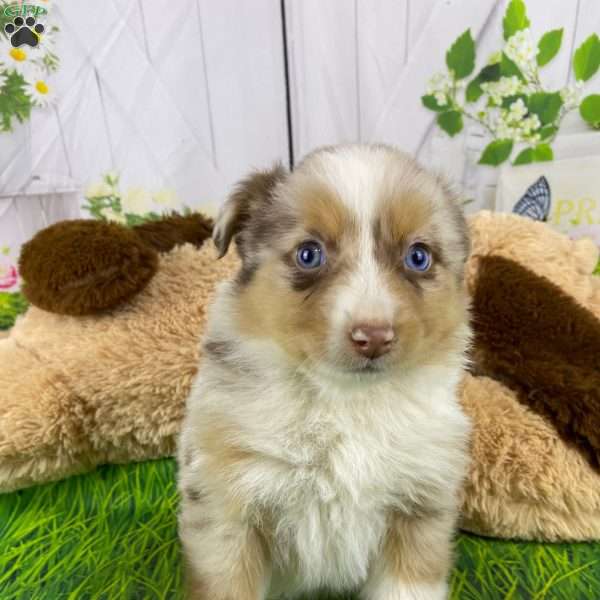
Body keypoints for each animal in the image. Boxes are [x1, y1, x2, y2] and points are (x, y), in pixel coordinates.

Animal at [176, 143, 472, 596]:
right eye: (309, 254)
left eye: (418, 257)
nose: (374, 336)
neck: (346, 401)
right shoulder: (228, 507)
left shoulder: (419, 506)